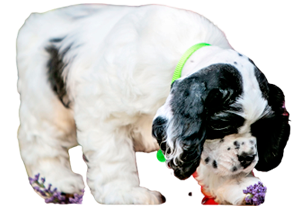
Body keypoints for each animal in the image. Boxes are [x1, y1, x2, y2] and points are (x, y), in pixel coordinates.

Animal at [17, 4, 284, 205]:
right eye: (222, 126)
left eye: (260, 127)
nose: (248, 158)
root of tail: (36, 22)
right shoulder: (104, 115)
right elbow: (113, 156)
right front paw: (125, 195)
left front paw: (236, 187)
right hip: (48, 104)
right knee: (40, 141)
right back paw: (56, 181)